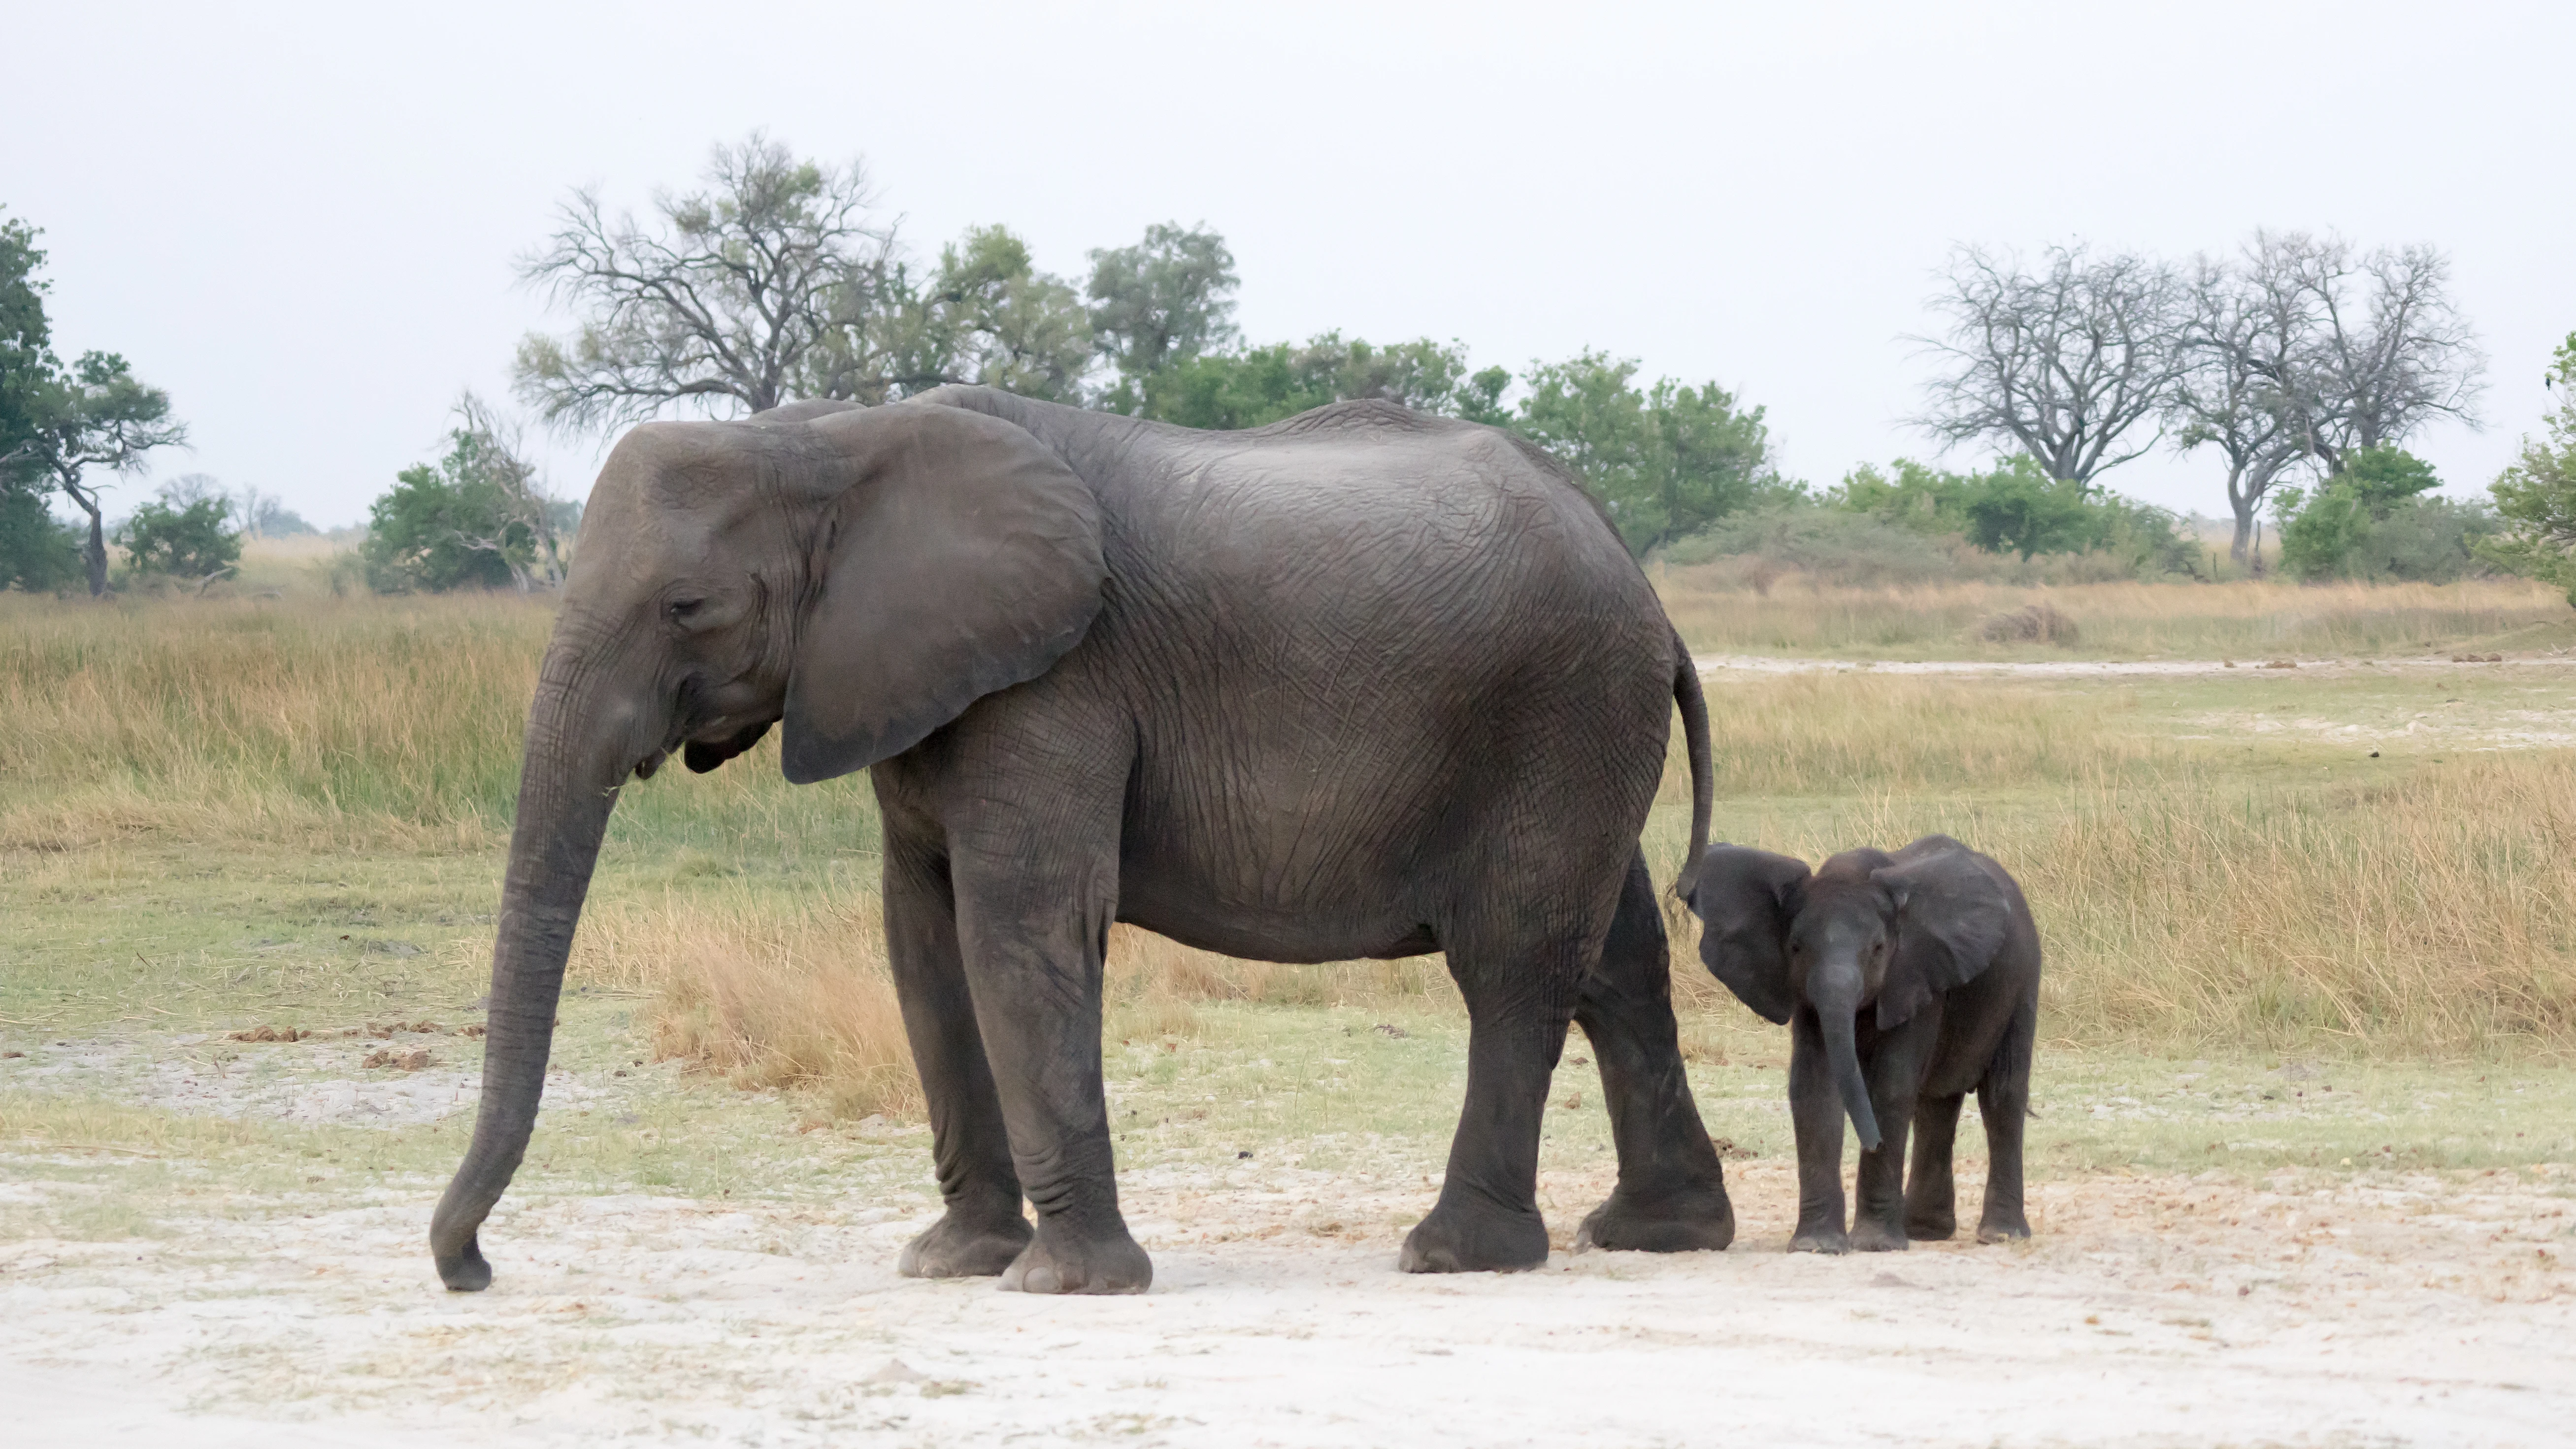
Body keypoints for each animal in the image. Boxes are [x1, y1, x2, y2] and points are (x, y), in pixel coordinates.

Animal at [429, 385, 1733, 1295]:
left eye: (687, 607)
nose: (473, 1269)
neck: (830, 439)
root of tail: (1648, 591)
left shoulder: (1054, 681)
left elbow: (1021, 927)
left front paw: (1063, 1283)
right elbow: (922, 943)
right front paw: (952, 1262)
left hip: (1557, 707)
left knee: (1515, 964)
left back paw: (1453, 1254)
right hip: (1578, 729)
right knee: (1617, 961)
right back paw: (1658, 1235)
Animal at [1685, 835, 2039, 1253]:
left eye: (1879, 948)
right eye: (1795, 948)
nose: (1872, 1143)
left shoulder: (1913, 975)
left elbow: (1891, 1085)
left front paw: (1874, 1245)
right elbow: (1814, 1090)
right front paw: (1817, 1246)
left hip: (2024, 981)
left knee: (2002, 1097)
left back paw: (2001, 1235)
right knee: (1937, 1105)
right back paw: (1924, 1231)